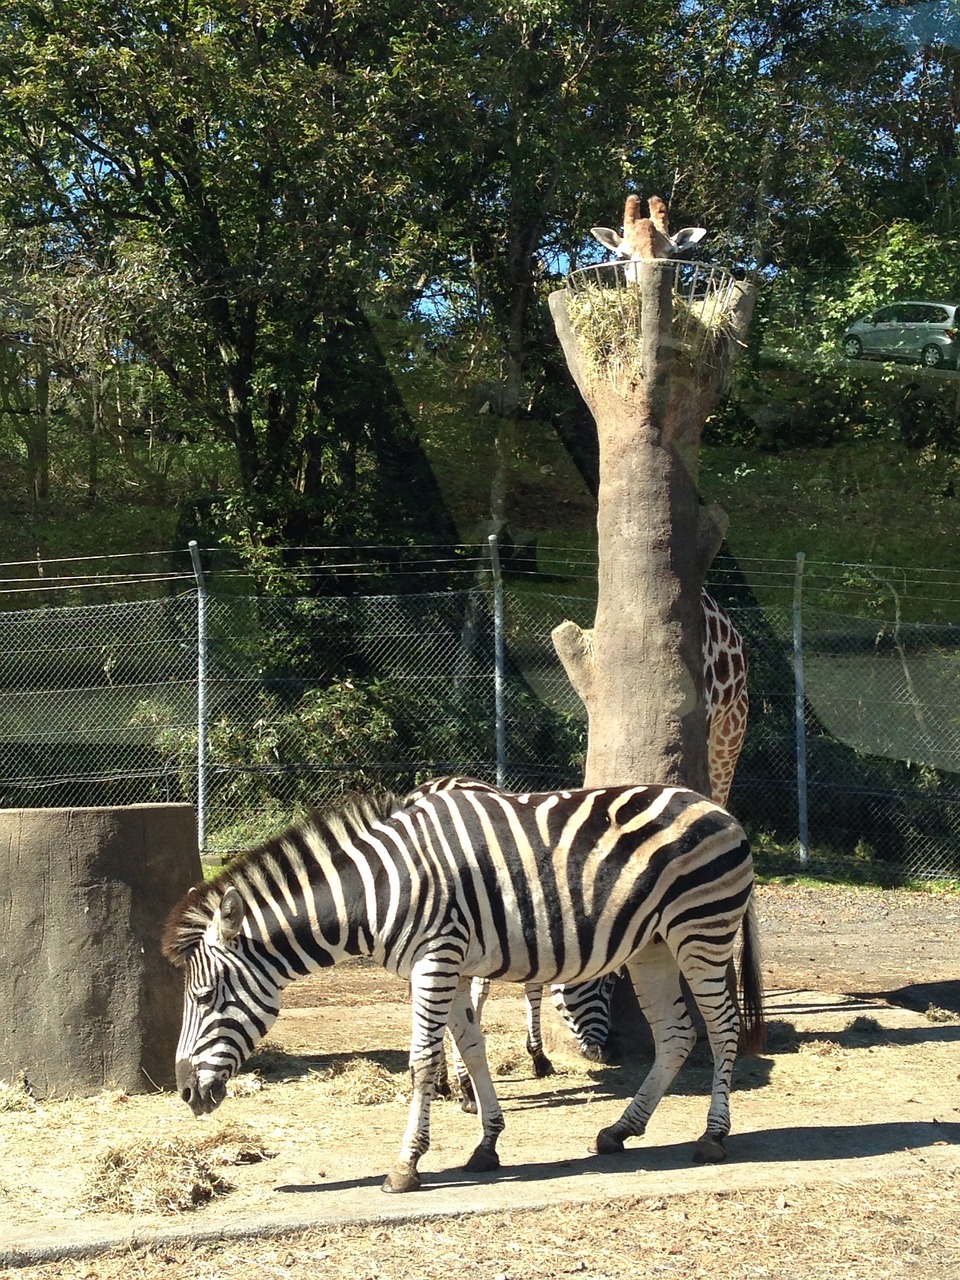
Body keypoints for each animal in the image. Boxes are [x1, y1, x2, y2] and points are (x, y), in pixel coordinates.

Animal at [165, 783, 768, 1192]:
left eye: (204, 998)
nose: (186, 1093)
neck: (377, 889)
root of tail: (720, 811)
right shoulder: (446, 965)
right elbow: (472, 1049)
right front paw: (487, 1142)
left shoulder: (436, 958)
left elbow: (421, 1062)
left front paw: (405, 1166)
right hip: (654, 946)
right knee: (676, 1034)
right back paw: (620, 1130)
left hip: (701, 930)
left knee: (722, 1028)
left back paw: (713, 1138)